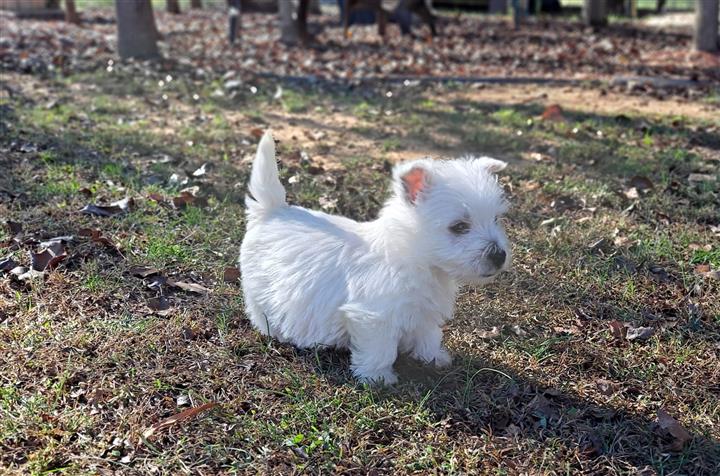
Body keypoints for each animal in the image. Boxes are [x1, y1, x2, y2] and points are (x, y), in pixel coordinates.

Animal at [242, 132, 512, 384]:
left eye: (495, 219)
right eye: (459, 227)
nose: (499, 255)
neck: (414, 258)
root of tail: (272, 210)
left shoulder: (424, 310)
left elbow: (428, 334)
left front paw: (434, 357)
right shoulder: (373, 317)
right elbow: (380, 349)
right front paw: (379, 378)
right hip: (261, 287)